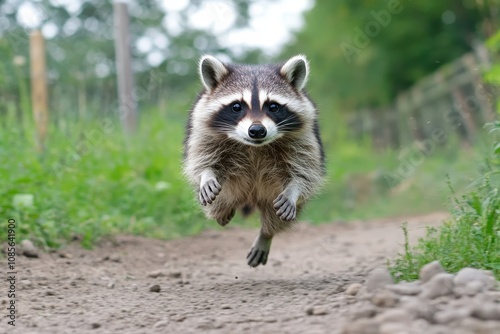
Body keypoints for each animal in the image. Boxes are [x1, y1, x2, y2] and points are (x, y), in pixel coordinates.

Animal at [182, 56, 326, 268]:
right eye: (236, 106)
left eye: (273, 106)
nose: (257, 130)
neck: (255, 146)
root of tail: (251, 197)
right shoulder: (202, 128)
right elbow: (202, 159)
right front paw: (206, 175)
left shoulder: (304, 135)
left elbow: (305, 169)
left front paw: (294, 188)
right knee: (217, 204)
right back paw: (223, 212)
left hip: (272, 198)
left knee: (276, 217)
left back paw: (266, 234)